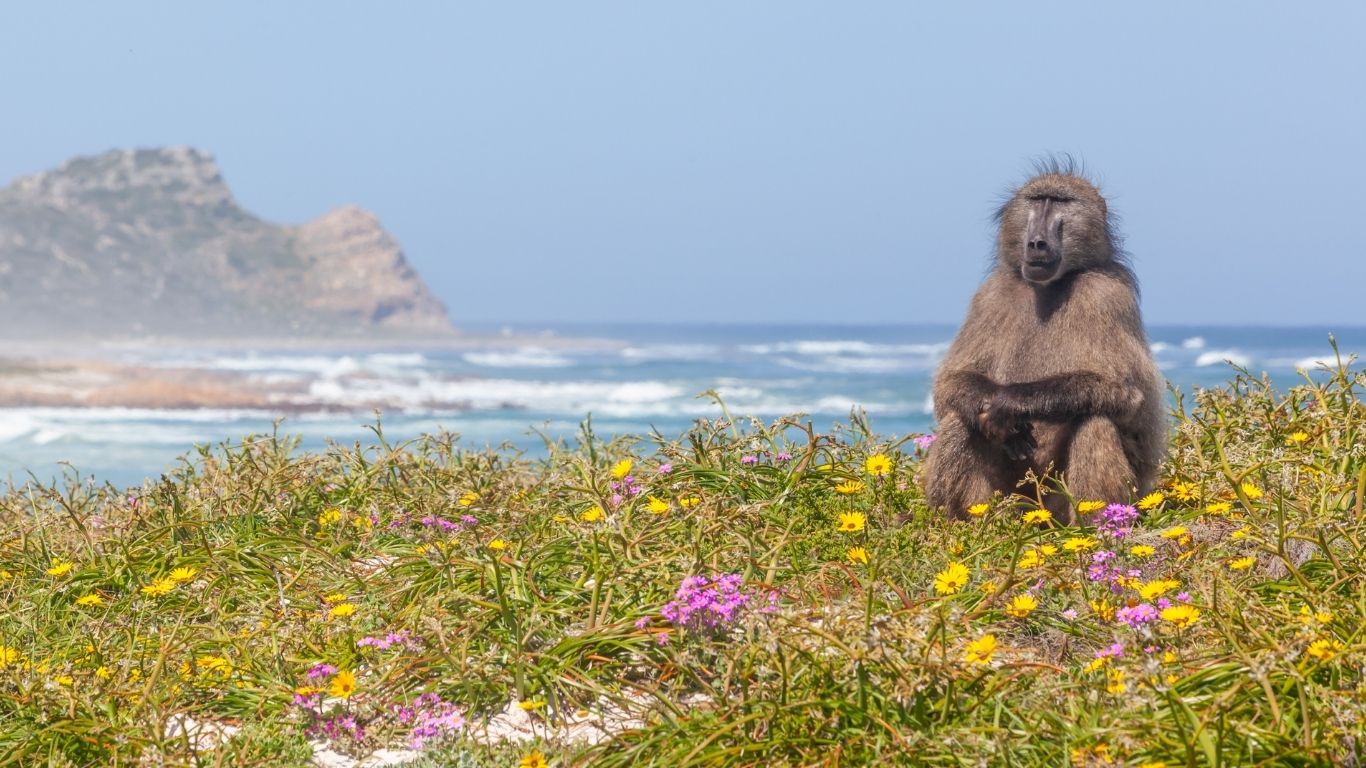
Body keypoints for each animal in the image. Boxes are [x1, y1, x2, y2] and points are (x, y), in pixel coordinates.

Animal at [921, 159, 1166, 522]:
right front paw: (991, 407)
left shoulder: (1106, 294)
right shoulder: (988, 296)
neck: (1049, 286)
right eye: (1037, 200)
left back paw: (1094, 525)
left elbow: (1124, 391)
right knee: (959, 420)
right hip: (1010, 496)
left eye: (1060, 202)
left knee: (1095, 418)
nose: (1036, 242)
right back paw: (968, 522)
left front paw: (1006, 403)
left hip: (1069, 501)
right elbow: (951, 383)